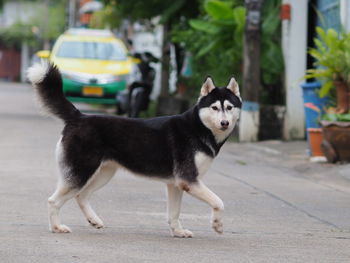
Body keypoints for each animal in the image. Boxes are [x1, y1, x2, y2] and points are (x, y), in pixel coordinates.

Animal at [27, 63, 242, 238]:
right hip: (81, 172)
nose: (225, 123)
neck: (199, 128)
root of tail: (79, 117)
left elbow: (174, 213)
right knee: (53, 201)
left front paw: (178, 231)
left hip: (103, 174)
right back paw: (57, 227)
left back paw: (93, 220)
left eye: (230, 107)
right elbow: (219, 202)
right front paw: (217, 225)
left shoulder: (176, 184)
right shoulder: (189, 180)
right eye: (214, 108)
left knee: (82, 196)